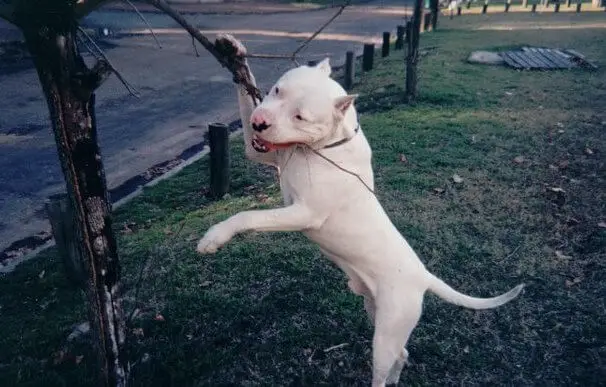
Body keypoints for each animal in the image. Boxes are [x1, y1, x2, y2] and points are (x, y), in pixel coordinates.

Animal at [198, 34, 524, 387]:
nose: (260, 123)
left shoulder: (304, 213)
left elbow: (249, 216)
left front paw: (214, 237)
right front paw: (234, 55)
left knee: (384, 363)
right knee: (402, 354)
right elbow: (246, 99)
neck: (319, 147)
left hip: (387, 332)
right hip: (376, 312)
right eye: (276, 91)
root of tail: (424, 276)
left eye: (300, 117)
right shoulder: (258, 152)